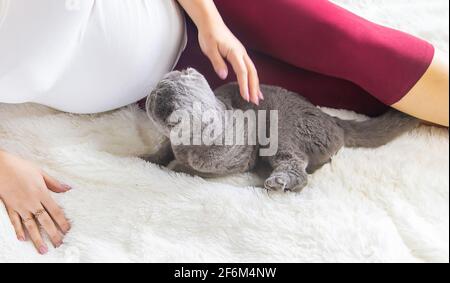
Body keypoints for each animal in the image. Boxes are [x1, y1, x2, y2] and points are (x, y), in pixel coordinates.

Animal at [143, 69, 418, 193]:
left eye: (155, 95)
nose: (147, 95)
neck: (186, 144)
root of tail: (334, 120)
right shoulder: (170, 143)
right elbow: (162, 150)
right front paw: (148, 158)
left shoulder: (236, 161)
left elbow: (191, 169)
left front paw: (175, 168)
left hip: (282, 135)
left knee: (299, 172)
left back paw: (277, 182)